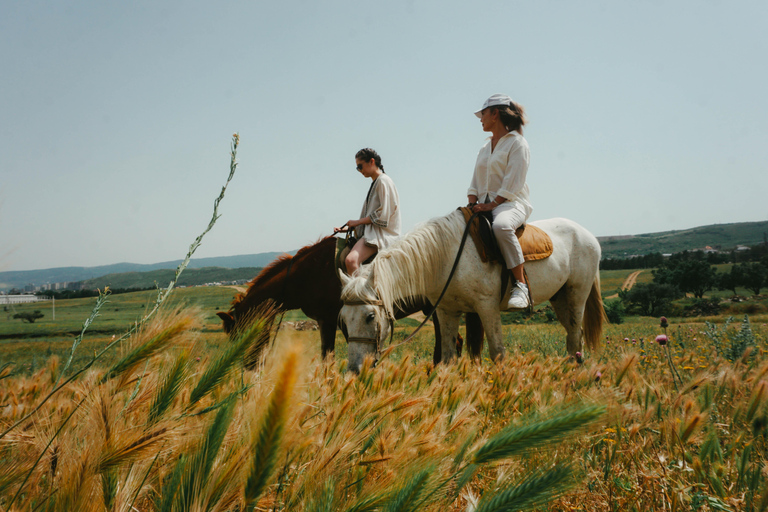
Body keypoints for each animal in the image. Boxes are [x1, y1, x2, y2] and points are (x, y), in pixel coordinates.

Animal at [216, 236, 480, 364]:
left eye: (239, 334)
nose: (248, 365)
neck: (305, 274)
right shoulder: (331, 322)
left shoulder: (329, 320)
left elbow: (329, 357)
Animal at [340, 211, 604, 372]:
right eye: (343, 320)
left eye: (370, 316)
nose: (355, 370)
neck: (445, 255)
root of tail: (588, 235)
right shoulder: (446, 311)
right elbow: (447, 356)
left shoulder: (486, 307)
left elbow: (497, 352)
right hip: (560, 298)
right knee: (574, 336)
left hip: (577, 295)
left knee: (574, 335)